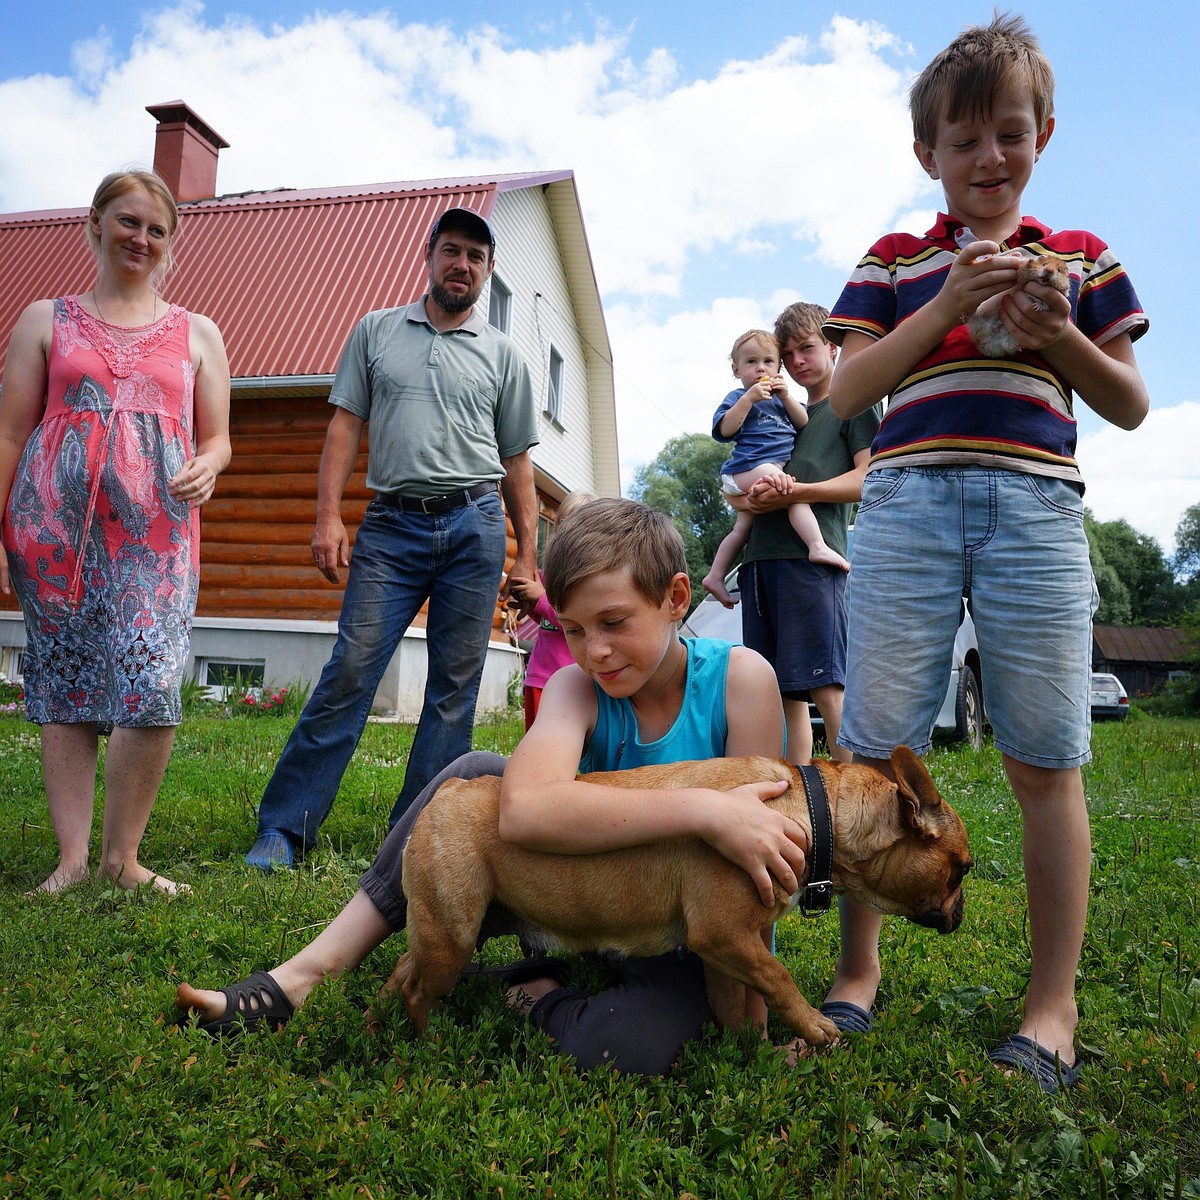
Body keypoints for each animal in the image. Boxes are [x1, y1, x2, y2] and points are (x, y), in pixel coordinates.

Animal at [379, 744, 969, 1046]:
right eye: (961, 870)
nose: (960, 914)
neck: (815, 811)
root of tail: (447, 791)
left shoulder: (733, 944)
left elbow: (740, 999)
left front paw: (748, 1055)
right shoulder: (725, 933)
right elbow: (779, 977)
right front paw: (813, 1027)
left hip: (454, 929)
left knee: (403, 971)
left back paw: (376, 1023)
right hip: (453, 938)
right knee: (419, 990)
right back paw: (428, 1043)